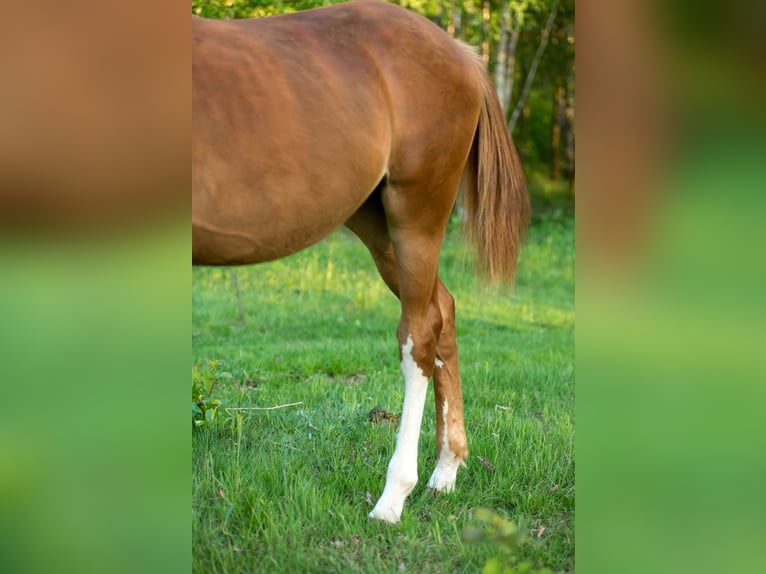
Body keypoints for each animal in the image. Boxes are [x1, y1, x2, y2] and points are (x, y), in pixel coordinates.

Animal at [192, 0, 529, 524]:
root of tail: (461, 53)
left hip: (415, 218)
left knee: (418, 338)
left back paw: (393, 498)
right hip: (377, 226)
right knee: (444, 312)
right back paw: (445, 473)